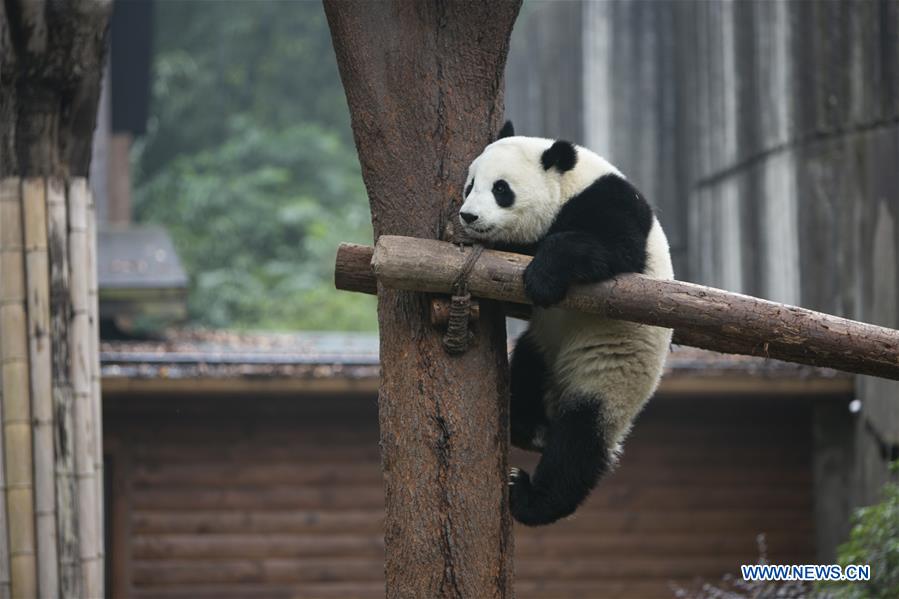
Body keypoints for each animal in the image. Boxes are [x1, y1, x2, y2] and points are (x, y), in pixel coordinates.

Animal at [460, 120, 672, 524]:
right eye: (470, 185)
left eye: (501, 189)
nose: (468, 216)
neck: (569, 183)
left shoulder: (611, 204)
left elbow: (611, 250)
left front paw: (542, 278)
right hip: (545, 346)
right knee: (525, 370)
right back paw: (531, 429)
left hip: (609, 379)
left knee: (579, 445)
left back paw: (529, 496)